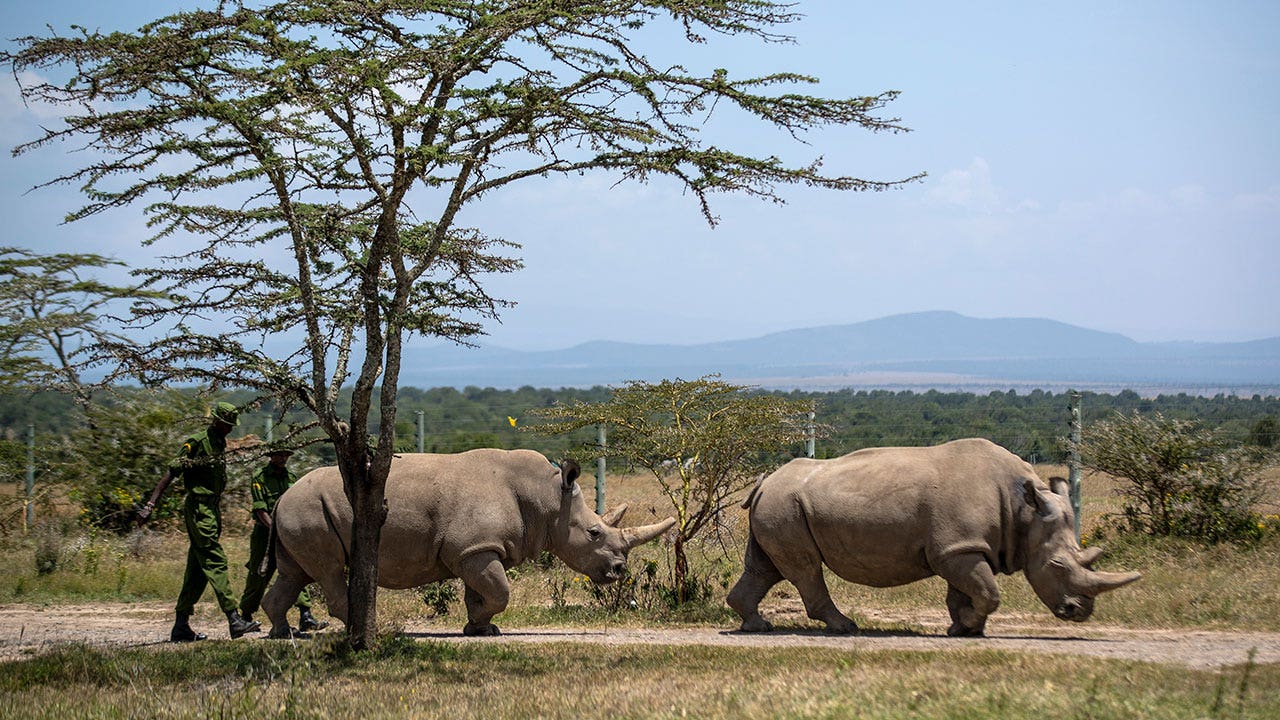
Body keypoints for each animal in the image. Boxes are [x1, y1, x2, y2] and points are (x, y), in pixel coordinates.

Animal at [263, 448, 675, 632]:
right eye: (594, 533)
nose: (619, 571)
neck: (546, 498)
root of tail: (283, 495)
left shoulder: (476, 549)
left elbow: (482, 593)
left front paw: (480, 629)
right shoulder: (474, 549)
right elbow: (500, 592)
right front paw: (479, 626)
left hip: (300, 511)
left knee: (294, 573)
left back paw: (282, 634)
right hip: (309, 509)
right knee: (329, 570)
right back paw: (366, 629)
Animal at [732, 438, 1141, 632]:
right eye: (1057, 565)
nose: (1079, 612)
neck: (1023, 511)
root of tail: (765, 481)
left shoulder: (961, 547)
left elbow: (966, 592)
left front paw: (963, 629)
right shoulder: (959, 548)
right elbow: (988, 593)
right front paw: (969, 626)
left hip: (780, 504)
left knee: (767, 568)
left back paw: (757, 626)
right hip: (786, 505)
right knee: (805, 569)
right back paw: (845, 627)